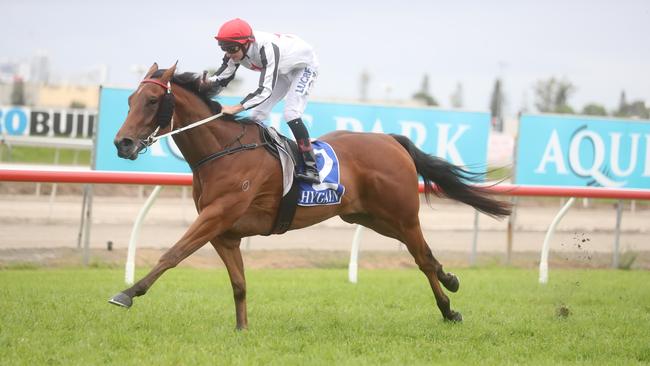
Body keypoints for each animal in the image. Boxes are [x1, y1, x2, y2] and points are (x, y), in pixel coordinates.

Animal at [110, 63, 512, 328]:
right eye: (129, 99)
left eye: (151, 101)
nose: (122, 143)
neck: (224, 150)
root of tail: (390, 139)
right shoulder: (224, 232)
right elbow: (239, 284)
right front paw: (242, 329)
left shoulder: (217, 215)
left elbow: (172, 254)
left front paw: (127, 293)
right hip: (369, 217)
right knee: (424, 256)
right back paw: (451, 282)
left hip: (401, 215)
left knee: (423, 259)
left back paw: (448, 308)